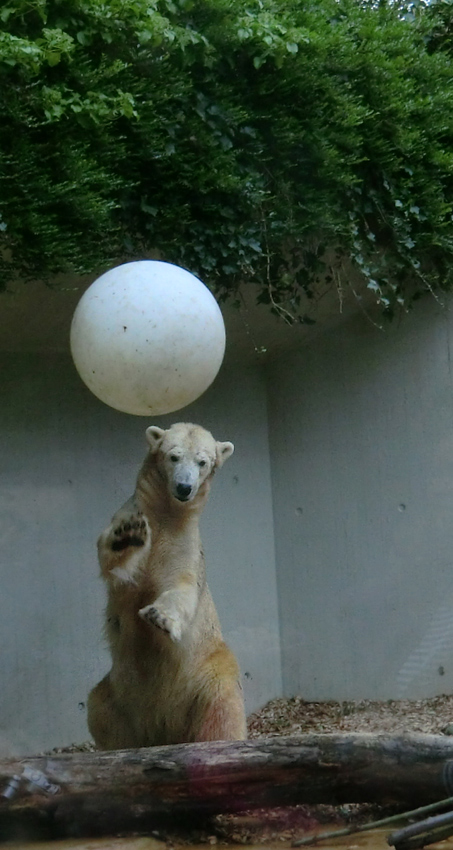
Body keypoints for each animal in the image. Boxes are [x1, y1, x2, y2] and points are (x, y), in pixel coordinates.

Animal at [86, 420, 245, 744]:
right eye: (173, 456)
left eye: (202, 462)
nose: (184, 487)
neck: (165, 515)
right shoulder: (137, 517)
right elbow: (114, 563)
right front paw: (127, 536)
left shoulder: (184, 545)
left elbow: (181, 588)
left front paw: (159, 617)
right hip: (115, 694)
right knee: (101, 714)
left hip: (207, 671)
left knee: (221, 706)